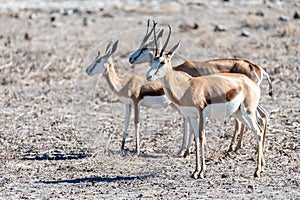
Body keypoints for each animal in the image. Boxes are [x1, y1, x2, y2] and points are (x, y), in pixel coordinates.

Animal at [130, 19, 270, 155]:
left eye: (144, 47)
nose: (131, 58)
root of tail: (256, 67)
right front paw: (187, 150)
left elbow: (189, 124)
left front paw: (185, 150)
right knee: (261, 116)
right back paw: (242, 148)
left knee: (253, 119)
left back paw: (240, 148)